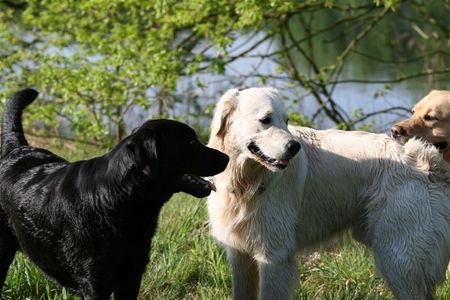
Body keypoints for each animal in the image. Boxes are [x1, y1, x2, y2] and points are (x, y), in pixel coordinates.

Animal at [0, 89, 227, 300]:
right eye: (191, 142)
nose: (227, 157)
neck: (114, 201)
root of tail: (16, 148)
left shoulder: (132, 277)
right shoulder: (94, 282)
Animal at [207, 87, 450, 300]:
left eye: (286, 121)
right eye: (266, 119)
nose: (295, 147)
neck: (246, 182)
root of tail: (429, 163)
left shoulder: (274, 257)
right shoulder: (239, 255)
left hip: (398, 259)